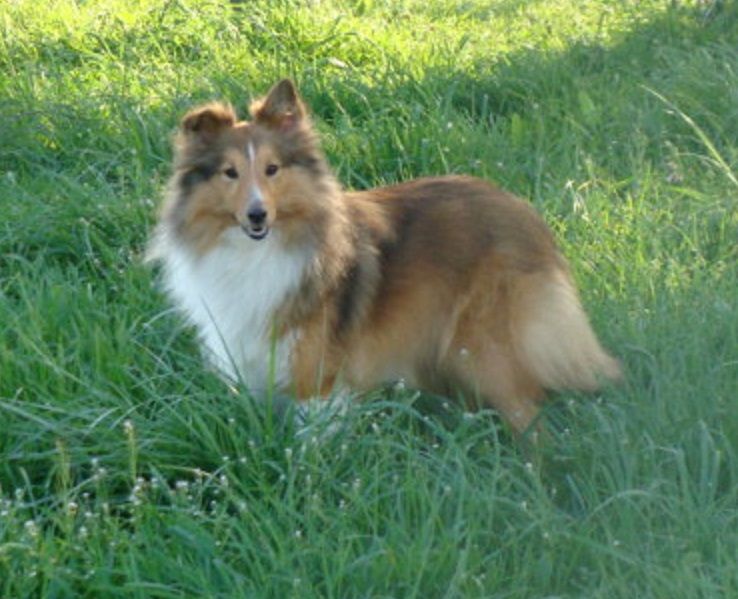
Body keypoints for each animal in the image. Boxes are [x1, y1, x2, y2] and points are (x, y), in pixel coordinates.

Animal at [147, 79, 620, 435]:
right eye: (230, 173)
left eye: (272, 169)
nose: (257, 214)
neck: (255, 253)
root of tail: (528, 215)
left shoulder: (317, 378)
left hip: (486, 346)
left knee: (531, 414)